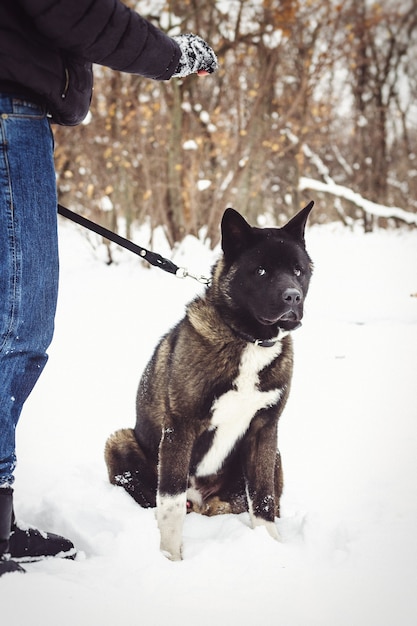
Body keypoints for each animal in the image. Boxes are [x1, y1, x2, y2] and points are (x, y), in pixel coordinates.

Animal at [104, 202, 312, 560]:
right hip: (119, 441)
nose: (293, 298)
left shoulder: (265, 429)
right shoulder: (180, 428)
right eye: (261, 271)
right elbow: (170, 503)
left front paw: (271, 547)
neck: (247, 340)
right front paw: (170, 558)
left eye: (298, 271)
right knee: (157, 500)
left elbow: (263, 498)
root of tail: (203, 502)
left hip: (275, 456)